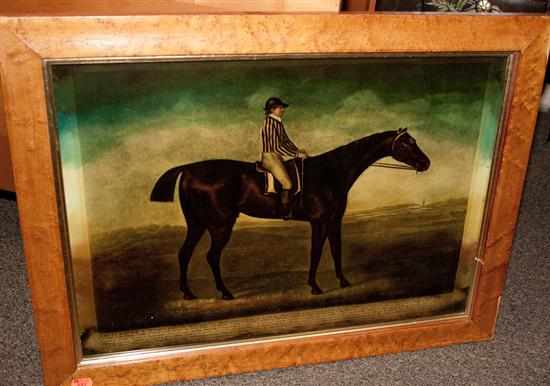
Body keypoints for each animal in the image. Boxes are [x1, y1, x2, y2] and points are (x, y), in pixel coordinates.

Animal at [151, 128, 432, 300]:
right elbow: (317, 252)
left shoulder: (334, 222)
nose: (426, 163)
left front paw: (343, 281)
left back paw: (188, 293)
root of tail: (189, 169)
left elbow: (336, 250)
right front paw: (315, 287)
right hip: (220, 225)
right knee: (211, 256)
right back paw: (225, 292)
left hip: (197, 224)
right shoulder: (319, 222)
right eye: (407, 143)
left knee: (184, 253)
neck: (331, 172)